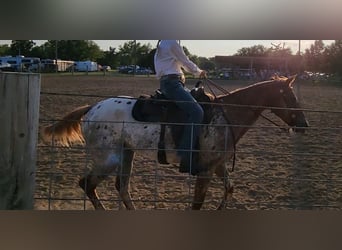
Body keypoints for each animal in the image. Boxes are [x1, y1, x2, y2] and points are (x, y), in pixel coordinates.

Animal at [41, 75, 308, 210]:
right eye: (289, 97)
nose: (304, 125)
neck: (226, 115)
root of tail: (91, 108)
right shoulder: (205, 170)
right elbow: (197, 204)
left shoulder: (218, 165)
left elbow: (229, 188)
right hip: (109, 158)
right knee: (87, 184)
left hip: (127, 154)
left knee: (122, 188)